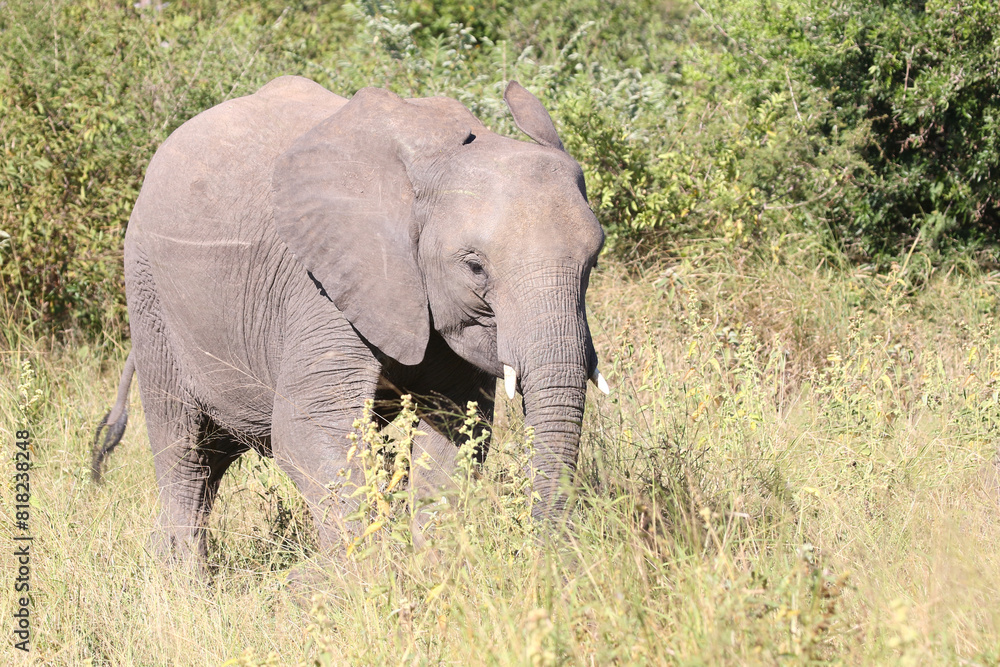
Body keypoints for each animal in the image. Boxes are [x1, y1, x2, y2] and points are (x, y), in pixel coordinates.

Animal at [95, 74, 608, 564]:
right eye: (475, 266)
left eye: (594, 259)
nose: (548, 556)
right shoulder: (324, 281)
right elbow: (309, 427)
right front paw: (363, 577)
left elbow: (456, 427)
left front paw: (434, 566)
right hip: (149, 292)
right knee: (183, 451)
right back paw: (186, 582)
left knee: (213, 457)